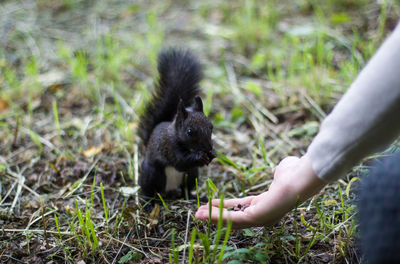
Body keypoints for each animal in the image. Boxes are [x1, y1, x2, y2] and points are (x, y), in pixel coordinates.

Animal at [139, 49, 217, 198]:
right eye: (189, 132)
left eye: (211, 127)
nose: (208, 148)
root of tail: (170, 189)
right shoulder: (168, 147)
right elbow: (181, 162)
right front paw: (201, 157)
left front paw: (213, 154)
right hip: (152, 174)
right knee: (149, 190)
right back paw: (148, 200)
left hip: (191, 175)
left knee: (185, 189)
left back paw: (192, 196)